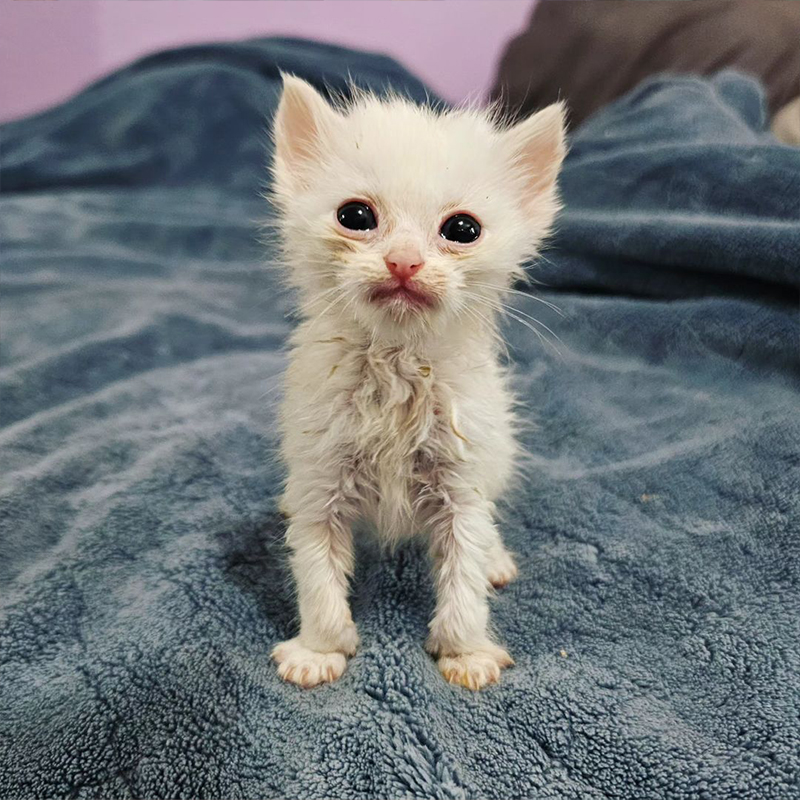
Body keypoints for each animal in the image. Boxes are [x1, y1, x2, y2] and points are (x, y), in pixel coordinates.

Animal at [268, 75, 564, 688]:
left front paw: (466, 653)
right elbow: (316, 570)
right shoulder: (320, 475)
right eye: (355, 216)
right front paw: (319, 650)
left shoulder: (463, 480)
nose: (404, 262)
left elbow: (464, 572)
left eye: (463, 229)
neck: (398, 365)